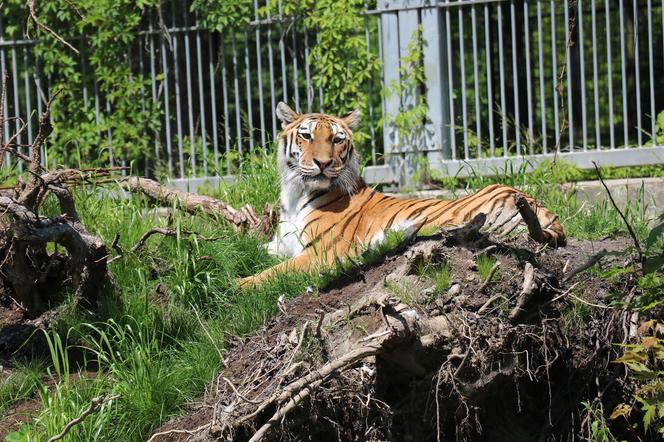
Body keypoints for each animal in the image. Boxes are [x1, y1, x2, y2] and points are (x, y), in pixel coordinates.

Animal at [236, 102, 564, 288]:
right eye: (306, 136)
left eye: (337, 140)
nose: (323, 163)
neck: (296, 192)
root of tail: (537, 203)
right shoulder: (279, 245)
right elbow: (250, 252)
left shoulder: (322, 253)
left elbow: (271, 274)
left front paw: (236, 285)